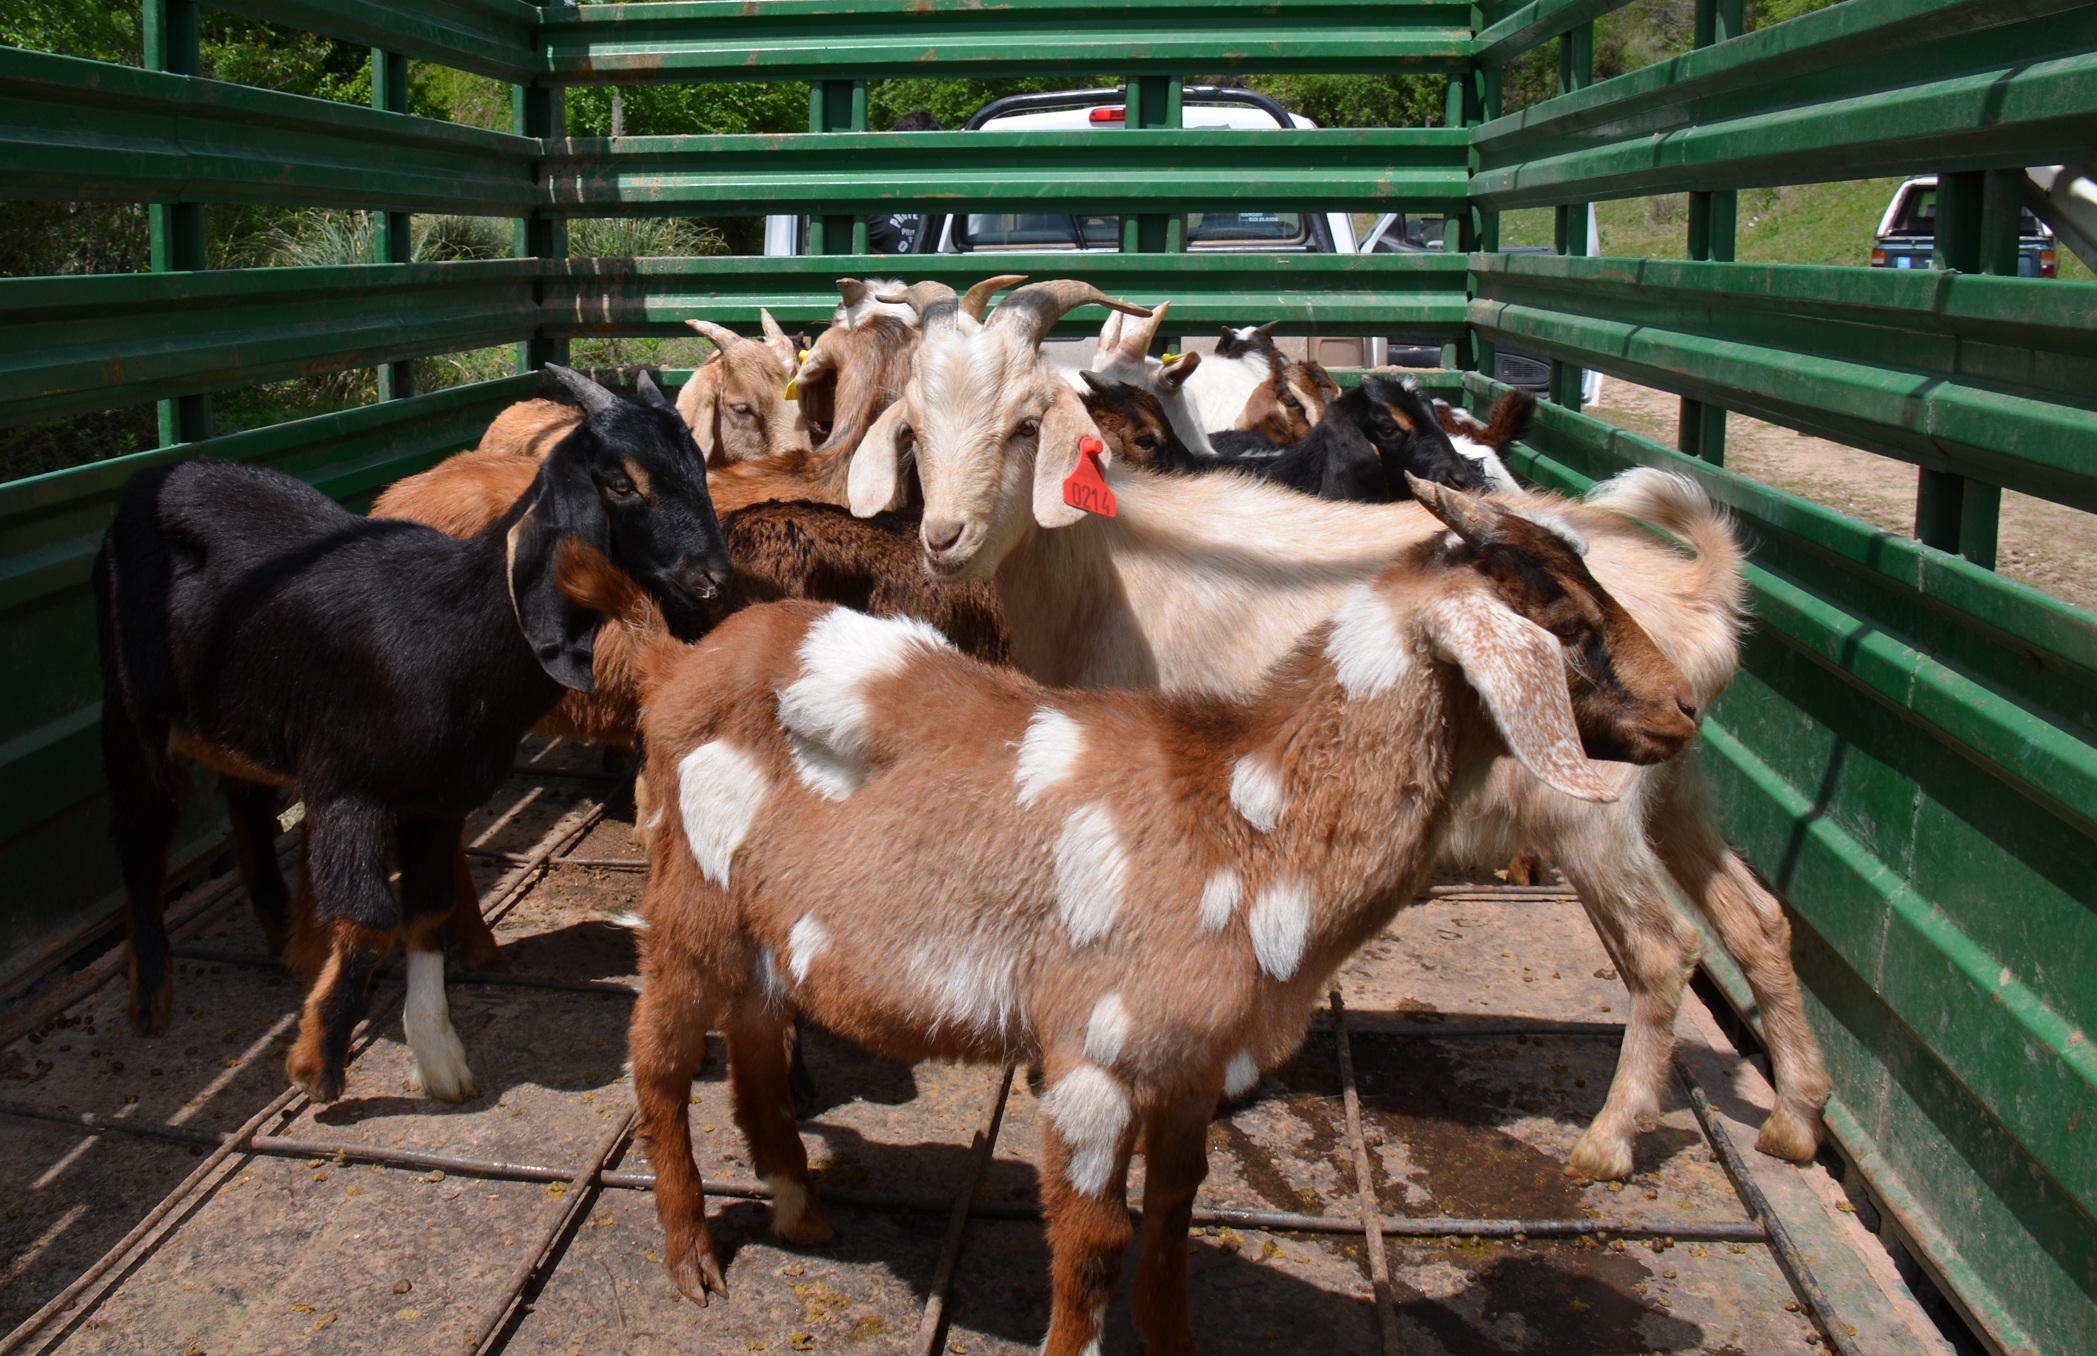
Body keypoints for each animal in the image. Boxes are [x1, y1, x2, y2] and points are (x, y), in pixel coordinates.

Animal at [98, 362, 738, 1106]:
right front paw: (316, 1062)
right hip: (132, 710)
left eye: (696, 463)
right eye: (619, 482)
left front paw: (438, 1055)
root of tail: (159, 476)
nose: (713, 577)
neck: (450, 631)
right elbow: (369, 919)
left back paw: (279, 929)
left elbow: (426, 911)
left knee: (244, 798)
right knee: (139, 827)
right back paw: (150, 993)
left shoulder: (438, 800)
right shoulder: (348, 787)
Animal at [851, 293, 1836, 1173]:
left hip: (1588, 808)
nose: (945, 538)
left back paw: (1610, 1140)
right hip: (1673, 784)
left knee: (1665, 953)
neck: (1108, 564)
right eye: (915, 430)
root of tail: (1696, 596)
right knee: (1757, 922)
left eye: (1028, 425)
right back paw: (1795, 1118)